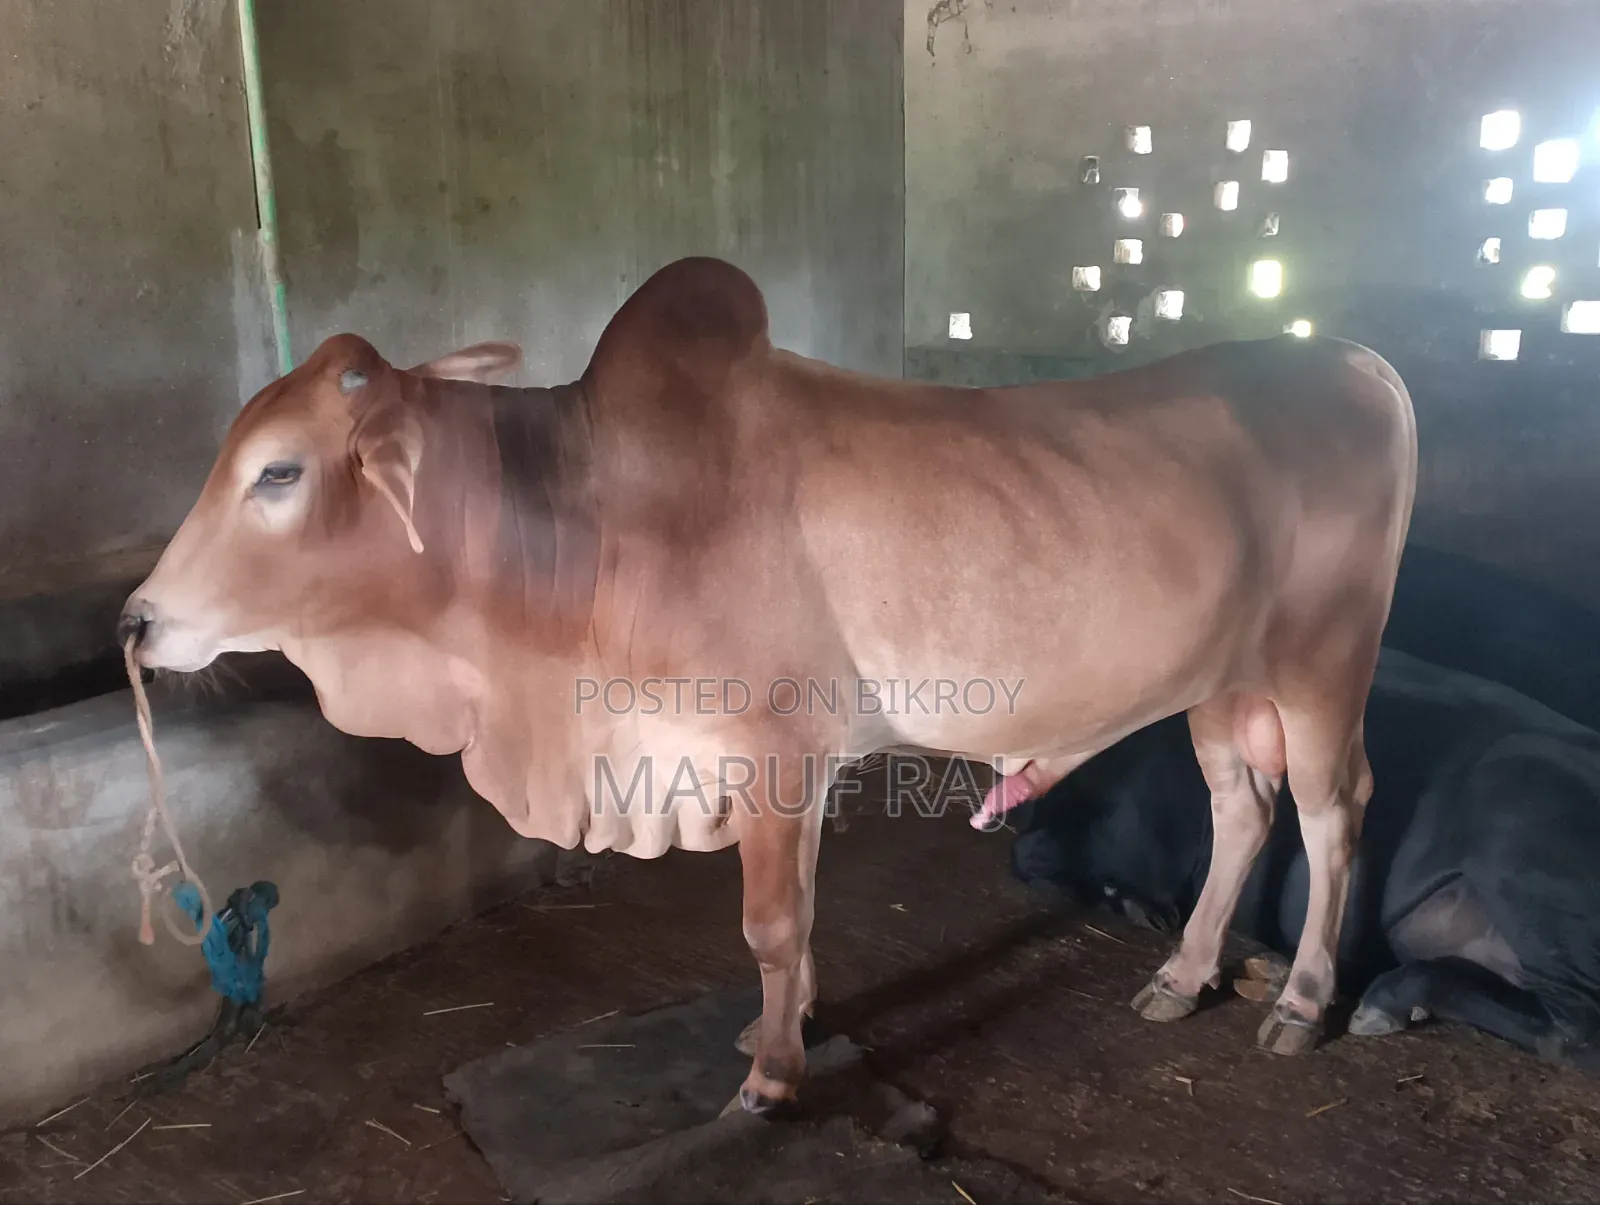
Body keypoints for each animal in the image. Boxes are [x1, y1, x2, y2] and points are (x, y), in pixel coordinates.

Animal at [118, 256, 1417, 1113]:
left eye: (278, 471)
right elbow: (796, 921)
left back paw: (1299, 999)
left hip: (1321, 664)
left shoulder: (772, 749)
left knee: (1331, 809)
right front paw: (780, 1022)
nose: (137, 621)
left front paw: (770, 1072)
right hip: (1220, 682)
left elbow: (771, 919)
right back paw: (1184, 971)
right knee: (1240, 807)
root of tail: (1357, 360)